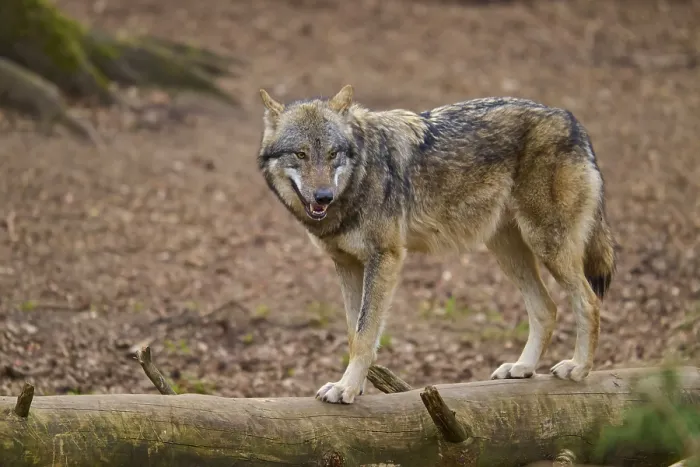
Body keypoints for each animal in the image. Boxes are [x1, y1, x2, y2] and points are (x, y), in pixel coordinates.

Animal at [256, 84, 616, 404]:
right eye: (301, 154)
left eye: (332, 154)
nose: (323, 197)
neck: (359, 176)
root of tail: (570, 120)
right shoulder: (346, 264)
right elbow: (353, 334)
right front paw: (354, 387)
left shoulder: (385, 258)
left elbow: (365, 333)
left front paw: (346, 389)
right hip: (507, 252)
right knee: (547, 308)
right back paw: (522, 367)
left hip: (547, 246)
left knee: (588, 302)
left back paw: (579, 368)